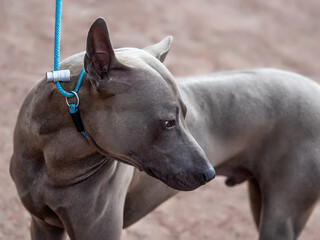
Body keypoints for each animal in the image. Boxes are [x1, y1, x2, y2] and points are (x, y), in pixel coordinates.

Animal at [10, 17, 320, 240]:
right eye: (169, 122)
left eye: (186, 115)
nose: (209, 174)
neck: (54, 160)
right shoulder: (43, 226)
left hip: (282, 217)